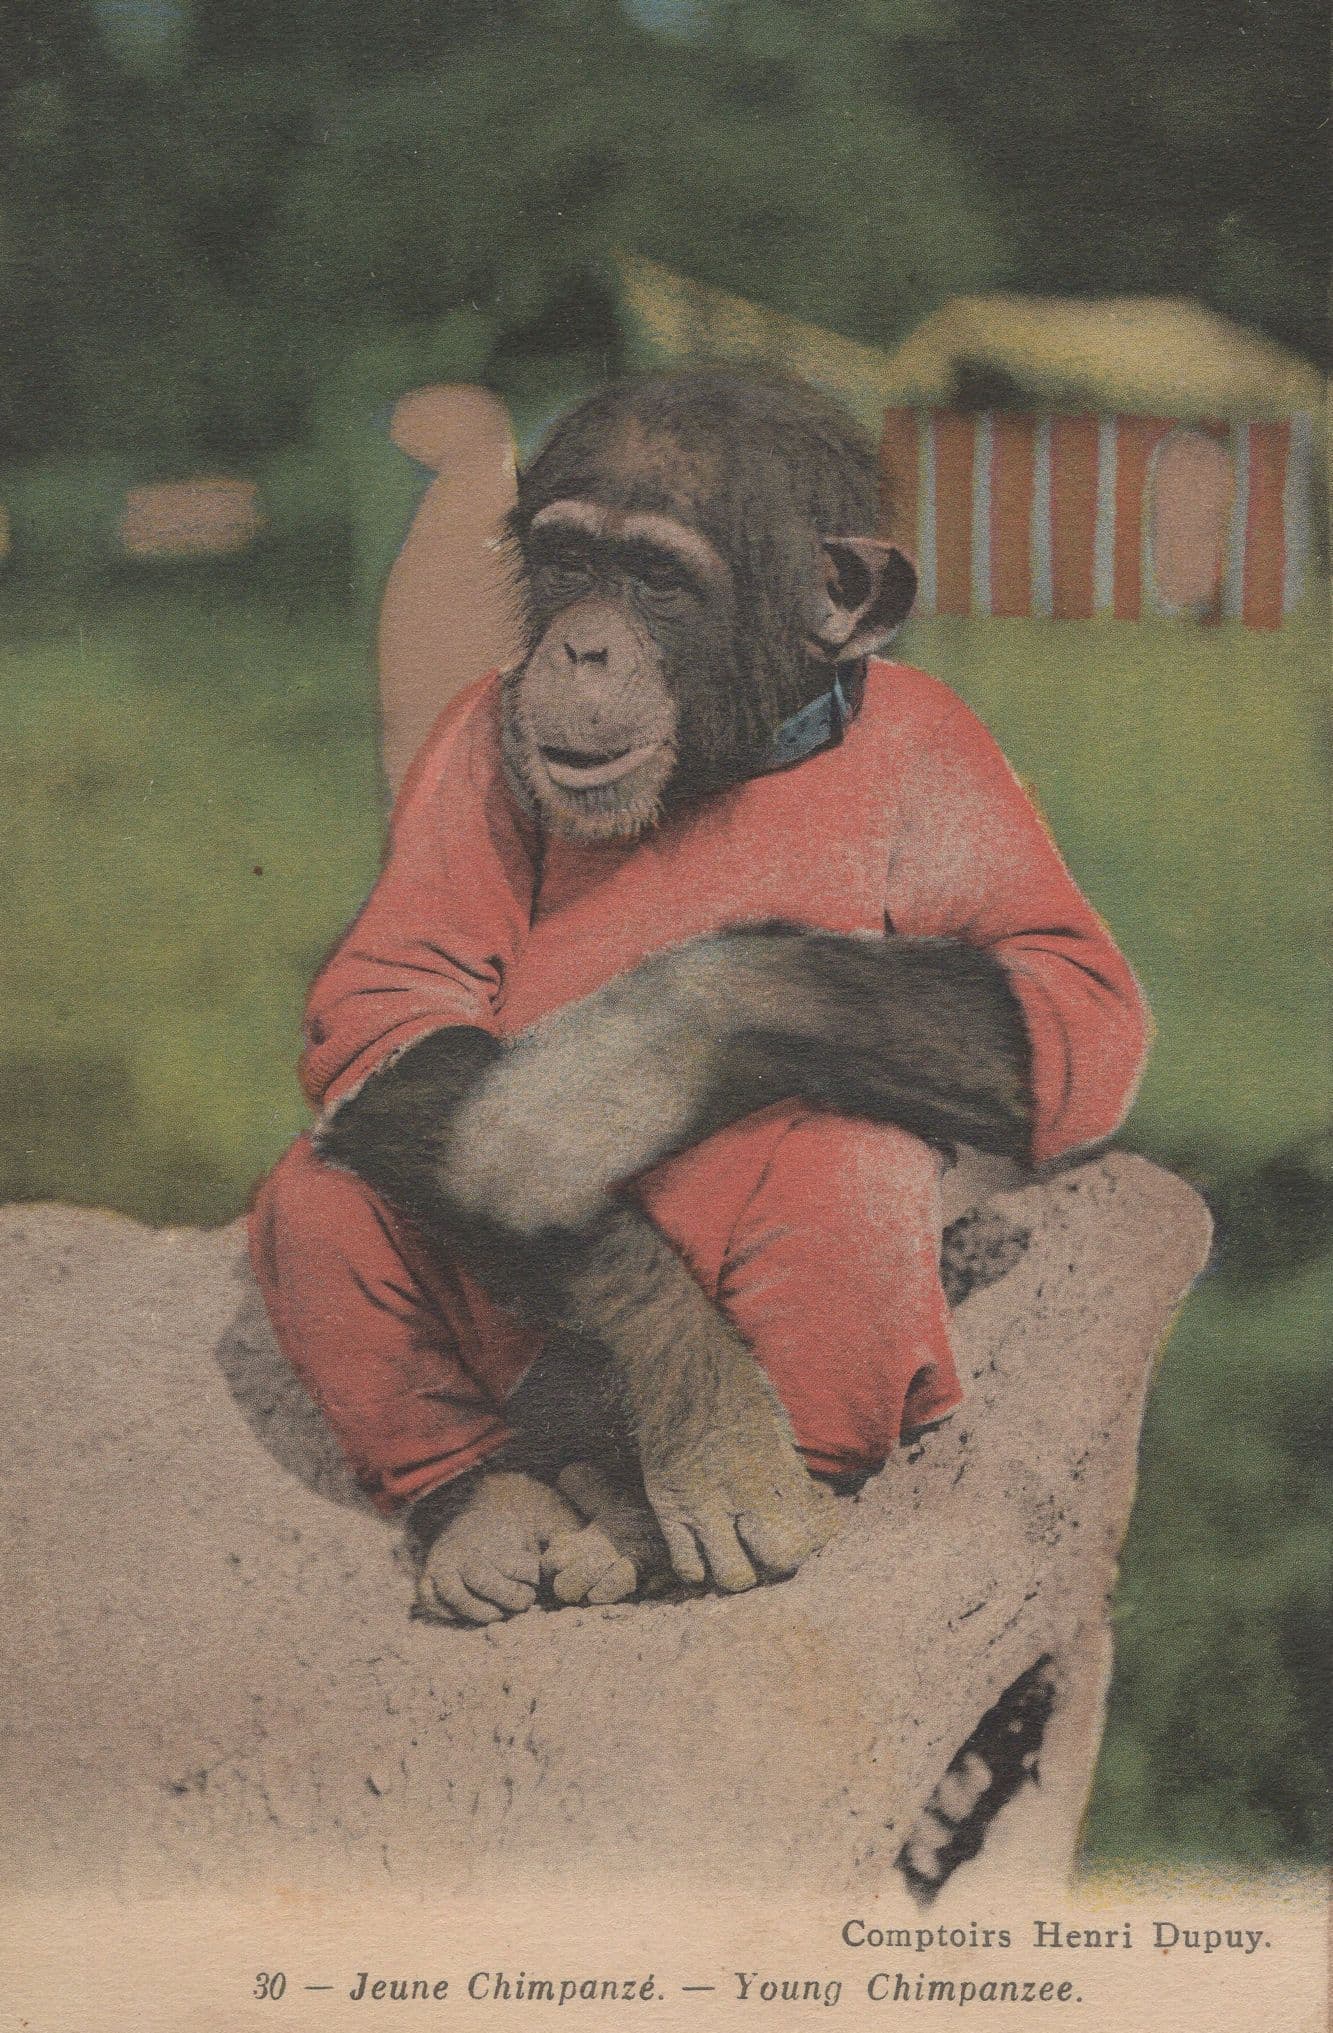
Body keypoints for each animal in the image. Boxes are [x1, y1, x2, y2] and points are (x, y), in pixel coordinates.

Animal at [250, 369, 1149, 1624]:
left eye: (658, 578)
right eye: (569, 559)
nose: (581, 647)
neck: (736, 760)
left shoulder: (952, 750)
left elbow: (1068, 994)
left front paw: (602, 1078)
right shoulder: (464, 745)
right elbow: (397, 998)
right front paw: (691, 1378)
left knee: (845, 1158)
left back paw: (697, 1509)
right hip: (534, 1392)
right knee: (323, 1186)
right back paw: (486, 1503)